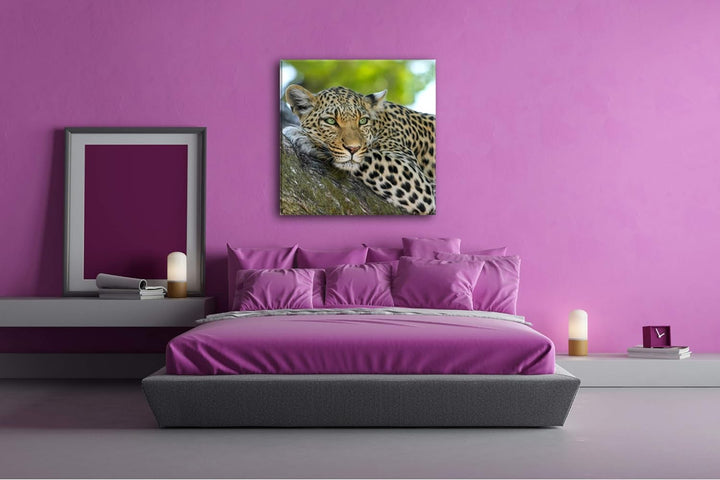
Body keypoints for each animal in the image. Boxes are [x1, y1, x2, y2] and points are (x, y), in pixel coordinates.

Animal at [283, 85, 435, 215]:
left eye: (362, 121)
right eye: (331, 121)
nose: (353, 148)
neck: (380, 124)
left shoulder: (418, 180)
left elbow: (368, 154)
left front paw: (304, 137)